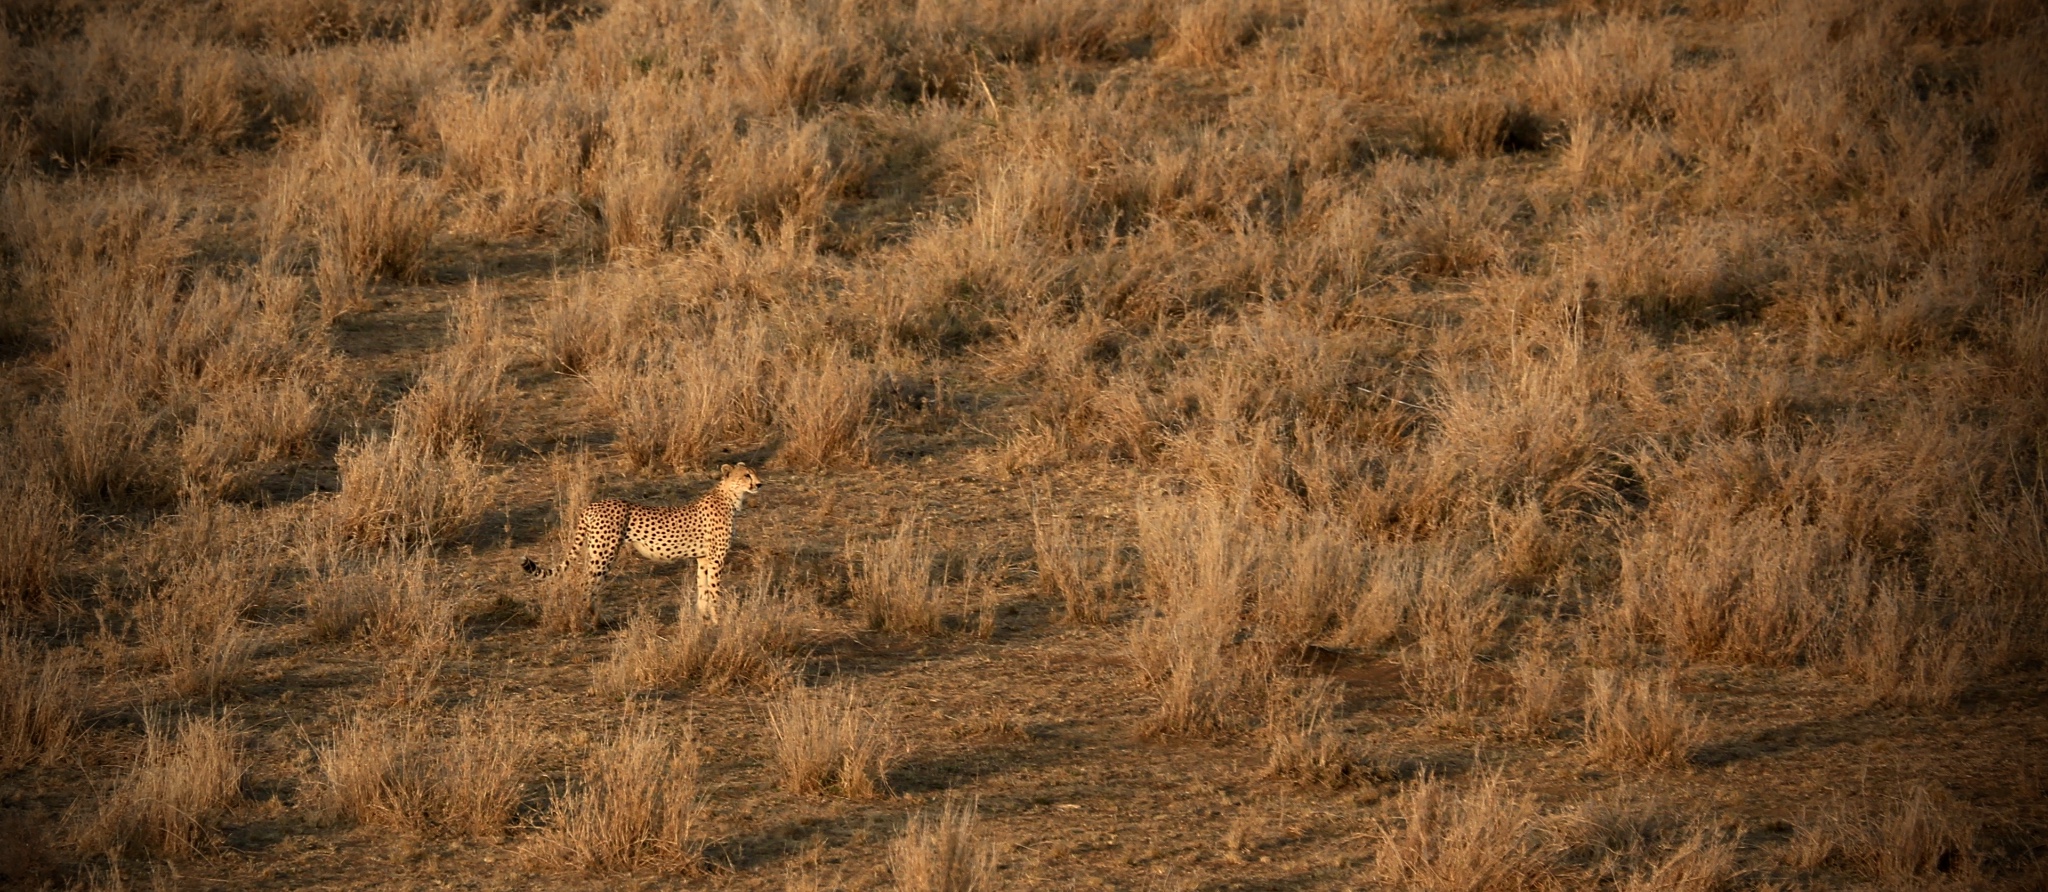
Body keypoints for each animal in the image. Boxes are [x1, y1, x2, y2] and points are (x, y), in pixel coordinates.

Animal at [520, 460, 761, 621]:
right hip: (604, 554)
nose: (759, 484)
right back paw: (587, 618)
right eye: (746, 475)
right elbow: (715, 590)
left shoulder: (703, 558)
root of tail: (593, 504)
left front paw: (704, 619)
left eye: (755, 473)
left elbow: (703, 590)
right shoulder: (716, 559)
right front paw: (720, 620)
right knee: (586, 583)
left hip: (595, 550)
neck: (730, 496)